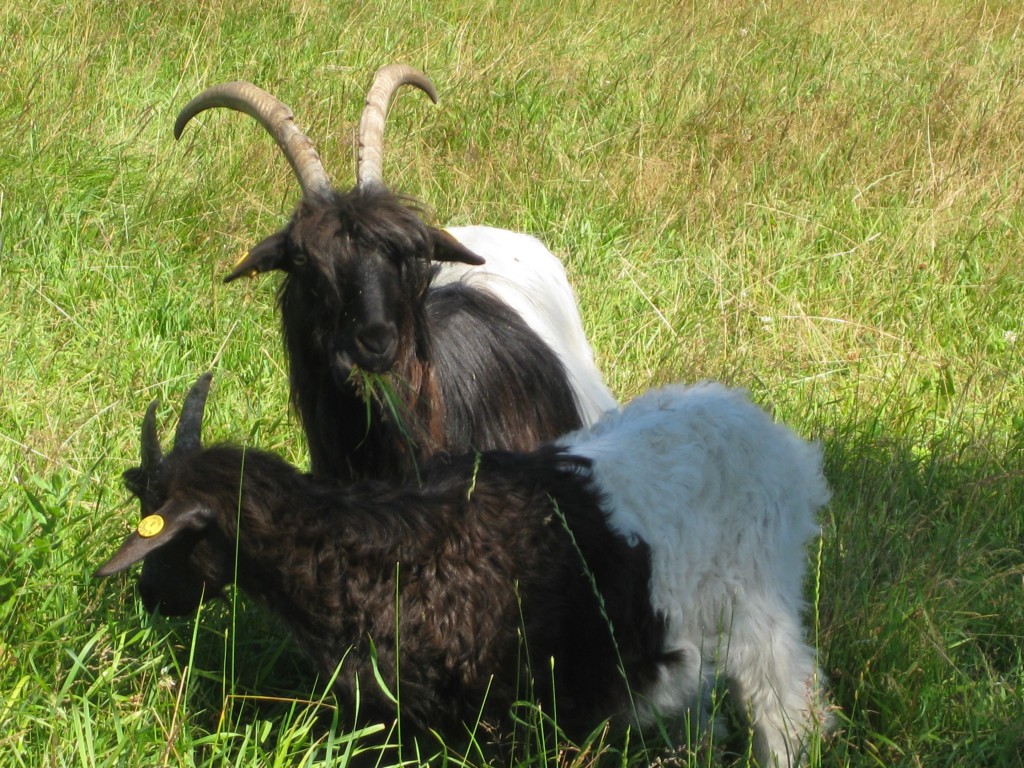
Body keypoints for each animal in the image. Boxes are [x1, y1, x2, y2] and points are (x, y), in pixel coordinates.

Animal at [96, 374, 831, 768]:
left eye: (169, 534)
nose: (150, 597)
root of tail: (772, 437)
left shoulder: (495, 720)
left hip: (763, 600)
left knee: (790, 706)